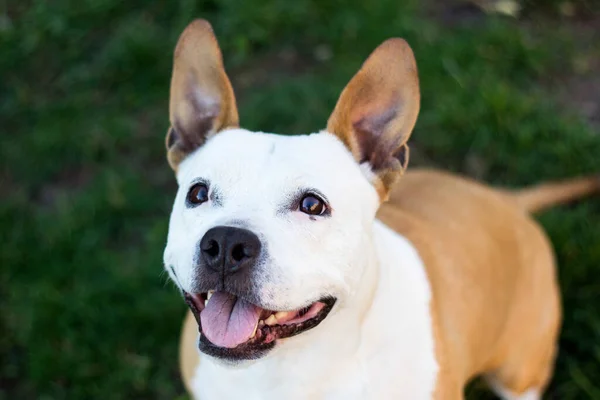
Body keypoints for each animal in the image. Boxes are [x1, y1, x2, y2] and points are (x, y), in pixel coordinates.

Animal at [162, 19, 596, 400]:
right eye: (198, 194)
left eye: (312, 204)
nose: (226, 243)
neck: (286, 371)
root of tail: (507, 199)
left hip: (519, 371)